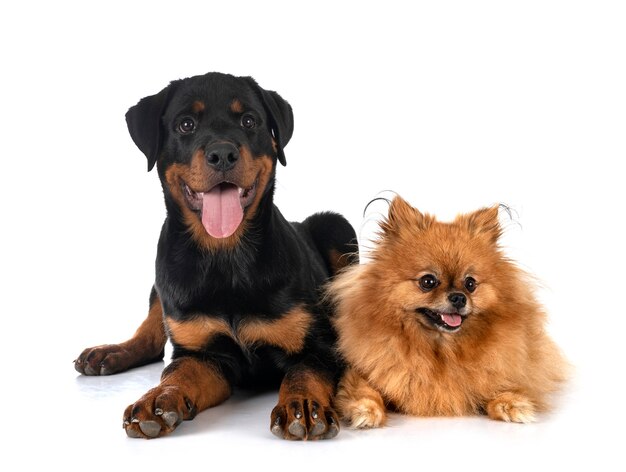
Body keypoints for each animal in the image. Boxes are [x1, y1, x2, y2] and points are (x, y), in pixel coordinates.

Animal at [73, 72, 356, 440]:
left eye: (249, 121)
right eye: (185, 124)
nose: (222, 153)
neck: (226, 256)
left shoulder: (317, 345)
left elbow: (304, 372)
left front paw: (303, 406)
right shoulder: (202, 353)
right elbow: (178, 372)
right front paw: (156, 401)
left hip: (336, 226)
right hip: (161, 279)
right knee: (152, 334)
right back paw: (109, 353)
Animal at [330, 195, 568, 428]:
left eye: (470, 284)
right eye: (428, 281)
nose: (459, 297)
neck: (442, 350)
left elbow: (503, 386)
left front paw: (512, 404)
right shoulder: (361, 372)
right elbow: (364, 389)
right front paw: (365, 410)